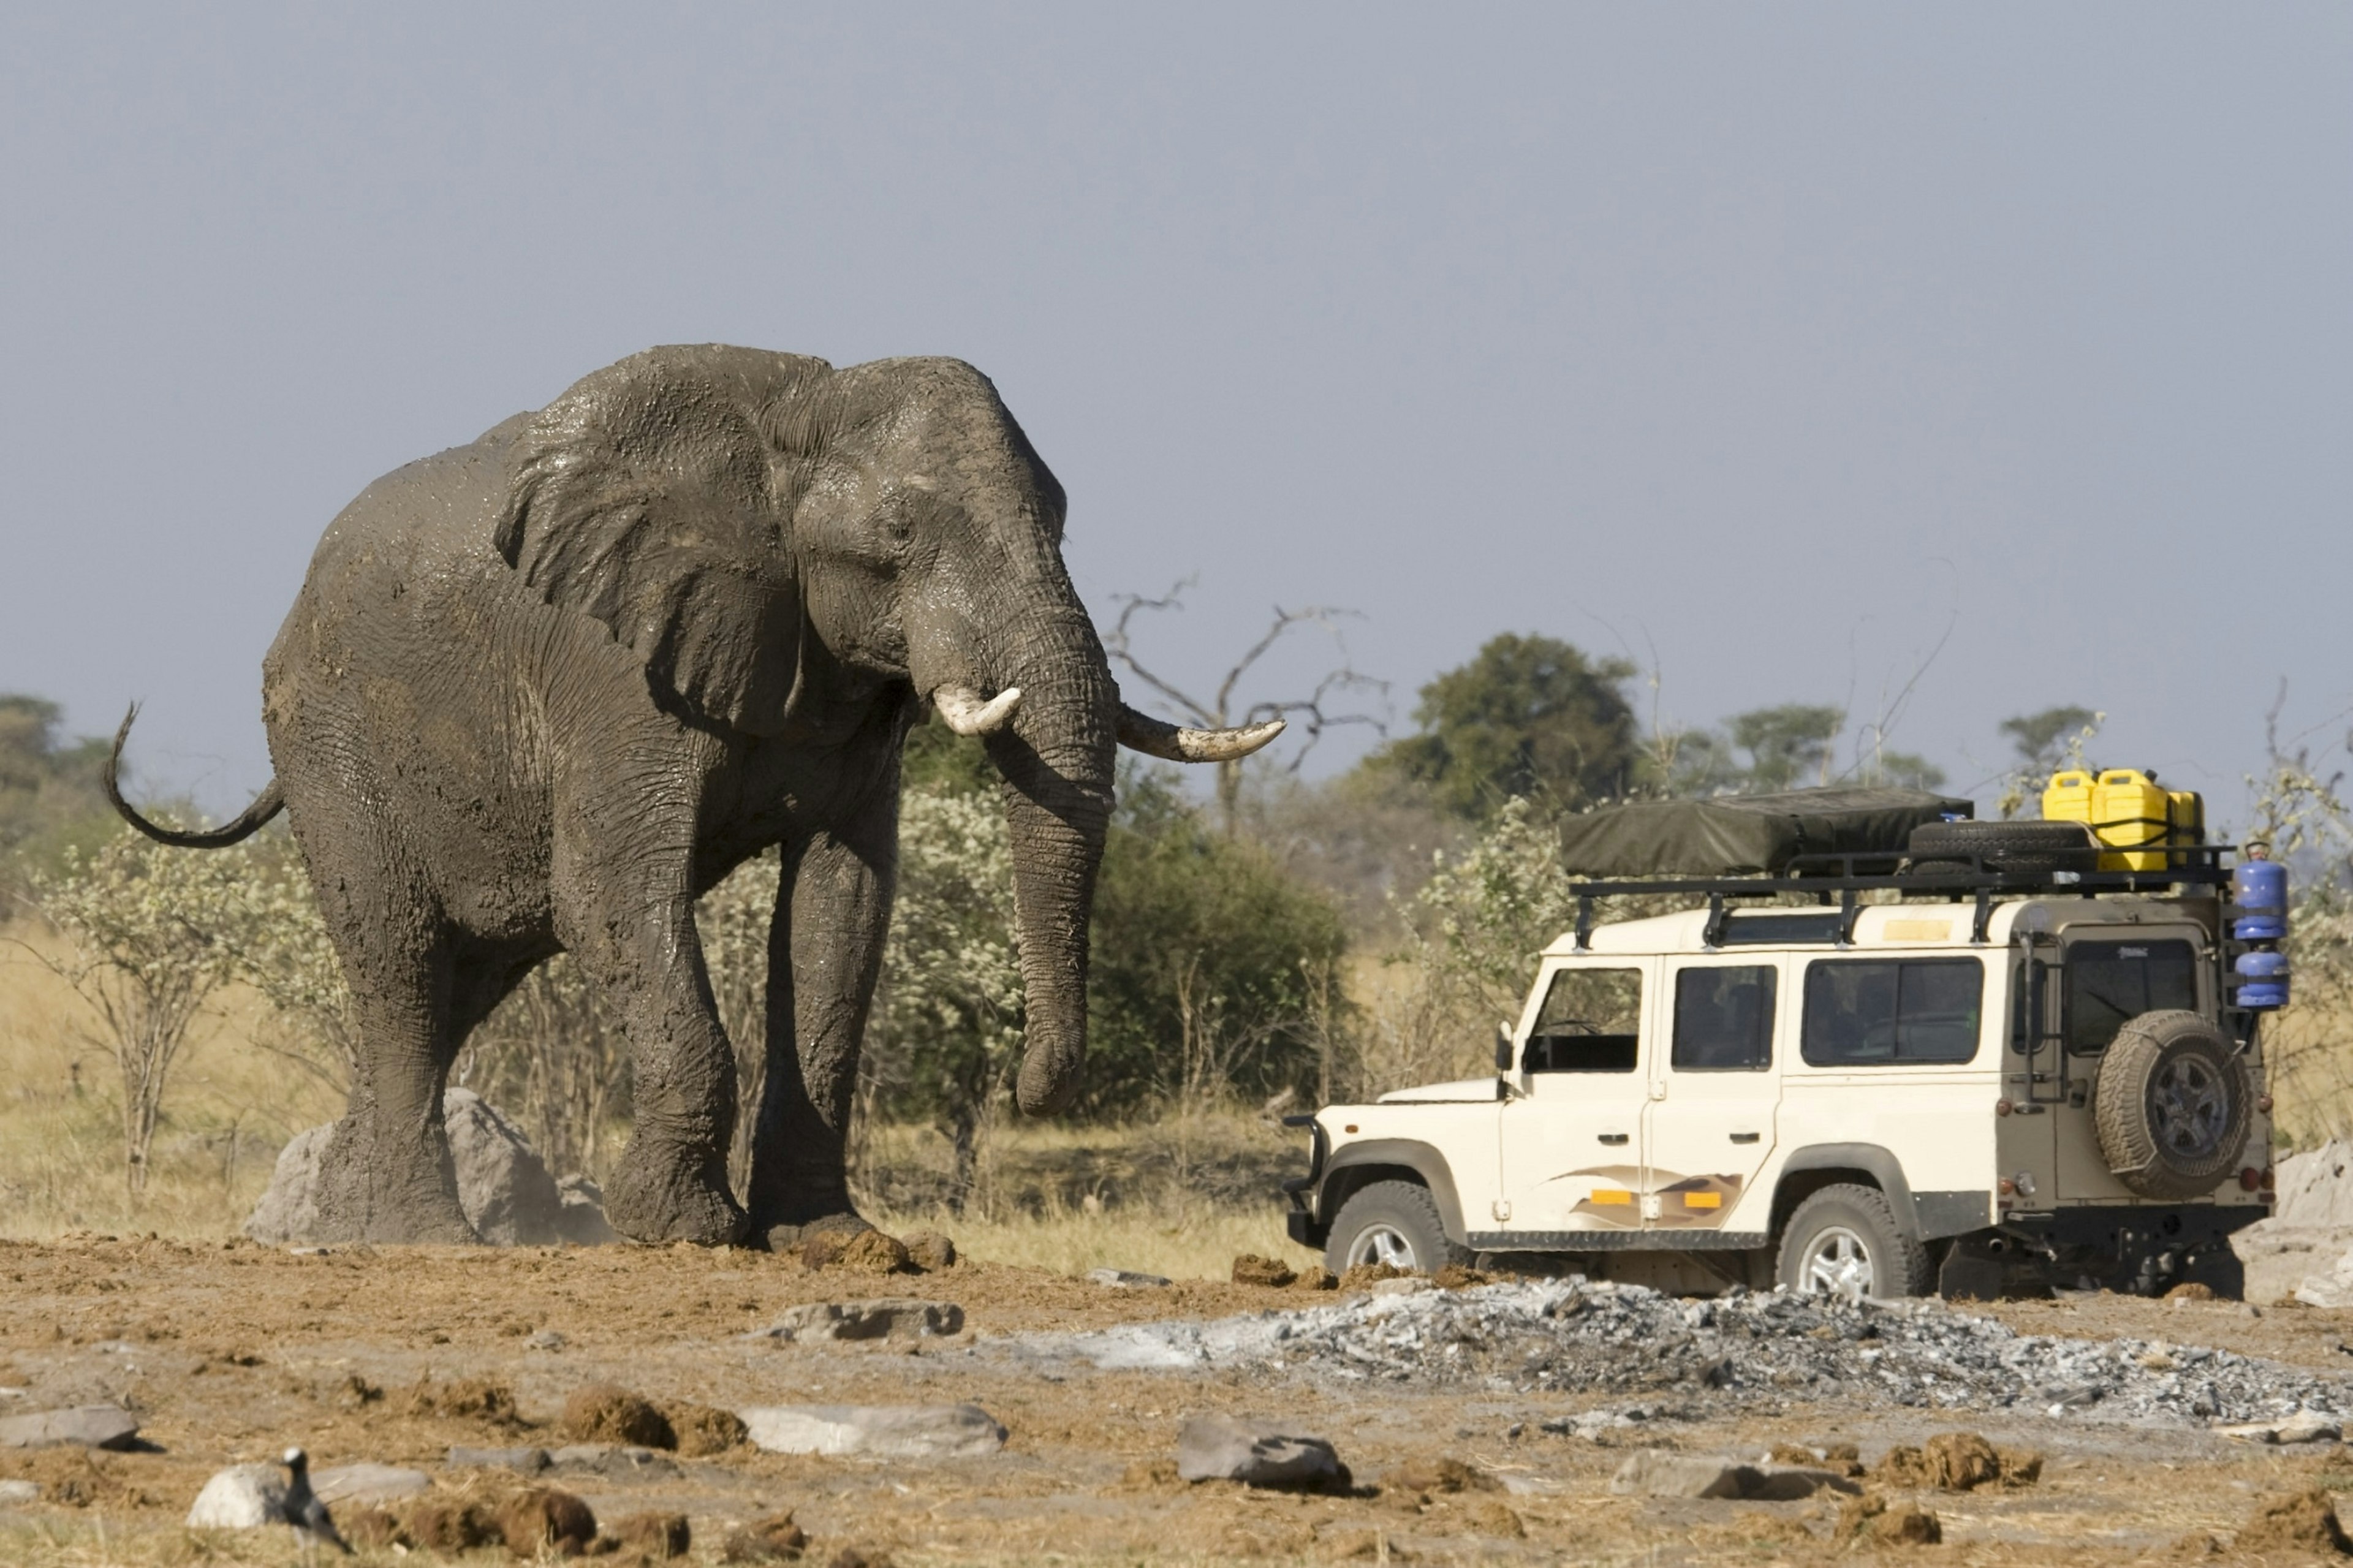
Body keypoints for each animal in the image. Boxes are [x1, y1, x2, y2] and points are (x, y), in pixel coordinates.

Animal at [105, 346, 1289, 1243]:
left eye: (1063, 517)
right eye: (901, 535)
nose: (1028, 1087)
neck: (789, 424)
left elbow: (841, 911)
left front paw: (829, 1238)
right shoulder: (610, 665)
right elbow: (613, 892)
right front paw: (681, 1228)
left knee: (456, 982)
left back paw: (339, 1225)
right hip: (329, 735)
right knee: (400, 959)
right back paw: (419, 1237)